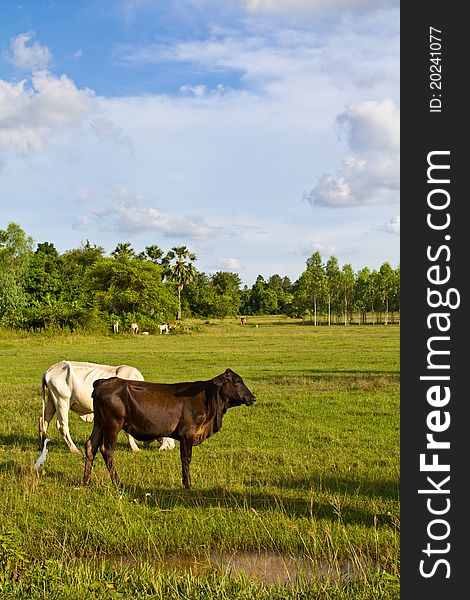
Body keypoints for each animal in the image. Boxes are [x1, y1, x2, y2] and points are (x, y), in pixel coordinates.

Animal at [39, 360, 176, 454]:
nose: (172, 446)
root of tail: (50, 370)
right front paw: (135, 448)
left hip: (52, 401)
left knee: (43, 420)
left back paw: (42, 445)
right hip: (62, 401)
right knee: (62, 425)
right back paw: (74, 449)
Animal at [82, 368, 255, 490]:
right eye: (236, 381)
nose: (253, 398)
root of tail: (103, 382)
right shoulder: (187, 434)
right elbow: (186, 458)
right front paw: (188, 484)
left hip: (99, 423)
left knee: (91, 446)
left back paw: (86, 481)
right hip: (112, 425)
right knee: (107, 450)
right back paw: (118, 482)